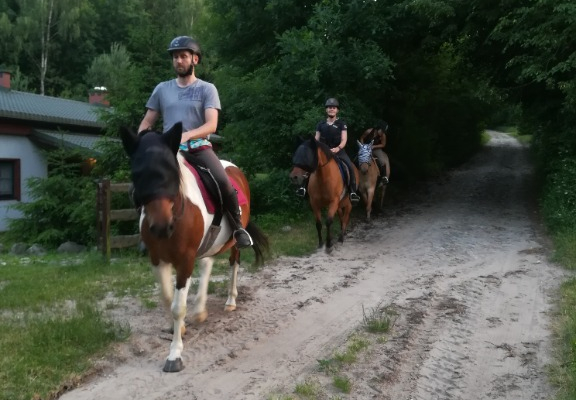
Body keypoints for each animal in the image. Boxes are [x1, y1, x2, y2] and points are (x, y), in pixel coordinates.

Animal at [120, 123, 268, 374]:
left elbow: (178, 306)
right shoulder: (158, 259)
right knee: (207, 263)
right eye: (137, 174)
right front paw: (178, 328)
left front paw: (174, 355)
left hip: (233, 241)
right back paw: (200, 309)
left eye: (172, 172)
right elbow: (167, 298)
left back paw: (230, 301)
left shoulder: (184, 260)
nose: (161, 226)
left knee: (234, 263)